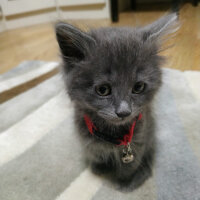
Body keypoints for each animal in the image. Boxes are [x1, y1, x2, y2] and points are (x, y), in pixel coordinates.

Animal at [55, 12, 178, 191]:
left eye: (138, 87)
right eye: (103, 90)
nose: (124, 112)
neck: (111, 134)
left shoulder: (139, 139)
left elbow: (130, 164)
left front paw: (124, 181)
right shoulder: (87, 138)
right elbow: (95, 152)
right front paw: (99, 167)